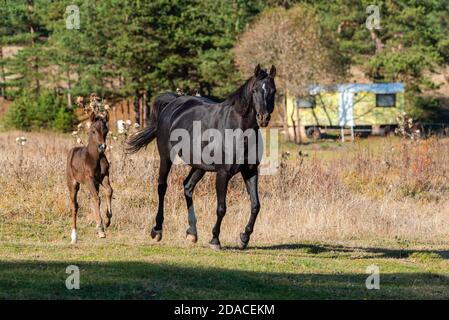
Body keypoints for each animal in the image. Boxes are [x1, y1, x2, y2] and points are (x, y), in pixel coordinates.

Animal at [66, 111, 113, 244]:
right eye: (93, 131)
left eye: (106, 130)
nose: (102, 147)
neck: (95, 157)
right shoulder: (89, 179)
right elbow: (97, 199)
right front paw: (101, 229)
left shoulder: (103, 176)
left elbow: (109, 191)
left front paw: (107, 222)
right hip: (73, 183)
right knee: (74, 206)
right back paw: (74, 237)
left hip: (95, 184)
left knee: (93, 197)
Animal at [126, 65, 276, 250]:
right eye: (255, 90)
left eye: (273, 91)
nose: (263, 118)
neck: (237, 129)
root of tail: (174, 103)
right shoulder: (223, 174)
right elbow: (221, 208)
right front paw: (215, 240)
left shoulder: (250, 171)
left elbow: (256, 205)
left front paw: (244, 238)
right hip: (166, 157)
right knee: (162, 187)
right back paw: (157, 230)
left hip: (199, 166)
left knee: (187, 186)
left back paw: (192, 232)